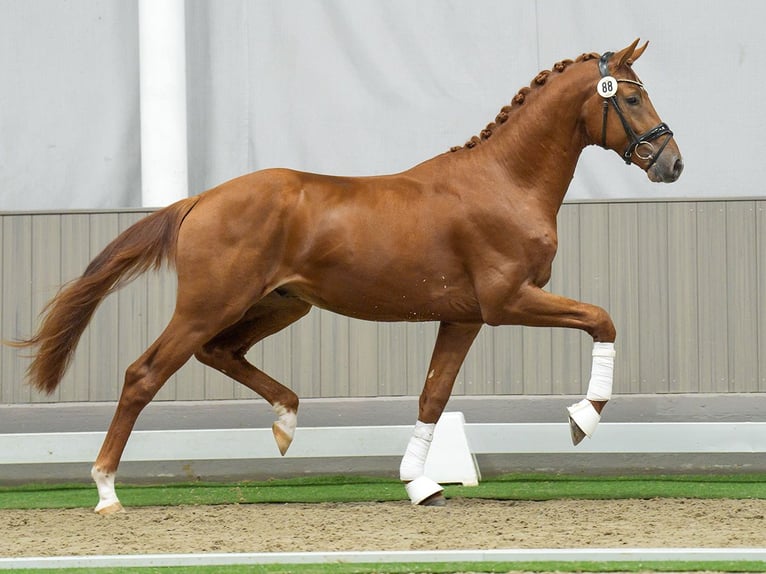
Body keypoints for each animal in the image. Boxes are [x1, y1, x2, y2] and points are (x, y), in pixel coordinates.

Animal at [10, 40, 684, 516]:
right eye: (630, 97)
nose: (672, 163)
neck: (504, 182)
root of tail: (200, 199)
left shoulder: (463, 316)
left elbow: (433, 396)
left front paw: (420, 485)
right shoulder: (507, 301)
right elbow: (602, 319)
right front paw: (582, 420)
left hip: (282, 305)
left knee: (220, 353)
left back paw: (286, 423)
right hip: (210, 305)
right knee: (144, 374)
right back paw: (106, 491)